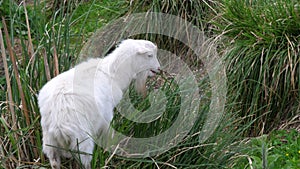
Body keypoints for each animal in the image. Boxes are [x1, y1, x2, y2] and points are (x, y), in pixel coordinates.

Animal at [39, 39, 162, 168]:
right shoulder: (106, 115)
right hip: (81, 140)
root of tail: (58, 124)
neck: (113, 74)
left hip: (49, 142)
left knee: (54, 161)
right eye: (150, 55)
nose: (159, 69)